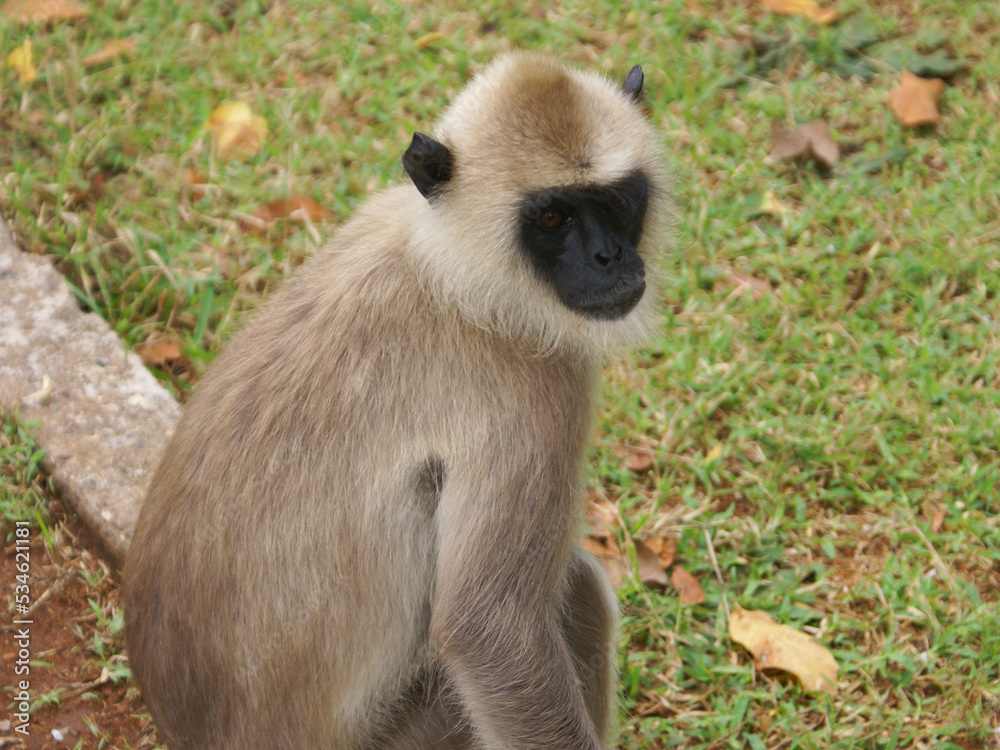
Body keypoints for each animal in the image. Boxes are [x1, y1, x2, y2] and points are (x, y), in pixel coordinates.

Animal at [123, 51, 671, 750]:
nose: (609, 257)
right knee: (577, 589)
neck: (449, 272)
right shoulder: (536, 385)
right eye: (554, 218)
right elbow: (491, 631)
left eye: (618, 201)